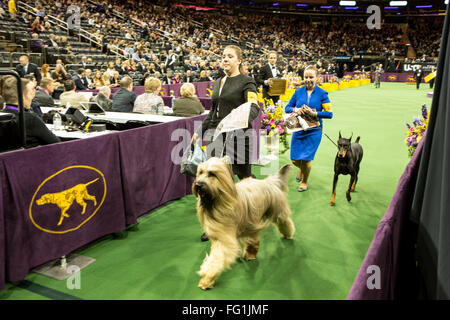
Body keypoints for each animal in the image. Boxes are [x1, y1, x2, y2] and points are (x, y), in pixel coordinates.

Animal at [192, 158, 296, 290]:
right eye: (200, 172)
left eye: (212, 174)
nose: (198, 185)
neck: (219, 202)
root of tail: (268, 182)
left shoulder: (229, 236)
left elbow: (217, 258)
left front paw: (207, 279)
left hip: (277, 211)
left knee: (284, 221)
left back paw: (288, 233)